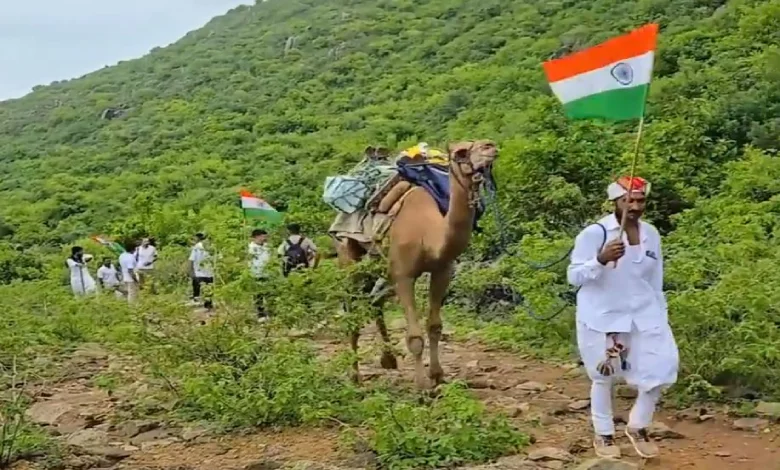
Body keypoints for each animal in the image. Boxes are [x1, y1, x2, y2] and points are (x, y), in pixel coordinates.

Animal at [332, 140, 496, 390]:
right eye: (460, 152)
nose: (490, 146)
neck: (428, 234)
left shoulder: (442, 270)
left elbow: (435, 326)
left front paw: (437, 376)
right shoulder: (403, 275)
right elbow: (415, 337)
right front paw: (422, 387)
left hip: (378, 265)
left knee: (374, 302)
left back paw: (388, 359)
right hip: (348, 257)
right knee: (353, 309)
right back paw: (354, 376)